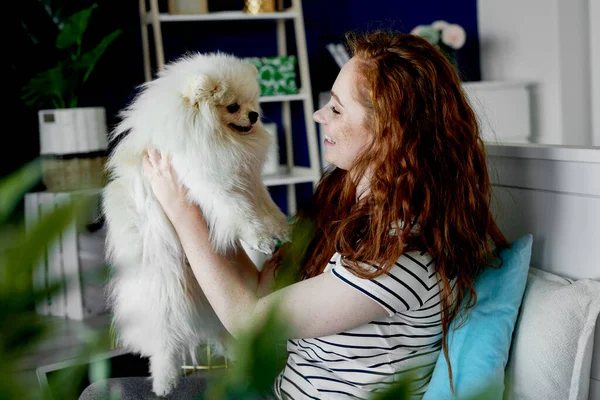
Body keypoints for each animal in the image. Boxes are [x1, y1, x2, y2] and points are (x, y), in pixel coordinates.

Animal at [102, 51, 290, 396]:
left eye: (253, 101)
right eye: (233, 106)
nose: (255, 114)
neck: (213, 135)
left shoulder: (248, 181)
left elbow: (266, 205)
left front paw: (281, 229)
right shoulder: (210, 184)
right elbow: (240, 213)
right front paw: (259, 238)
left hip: (206, 303)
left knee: (221, 331)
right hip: (167, 296)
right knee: (164, 345)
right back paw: (164, 381)